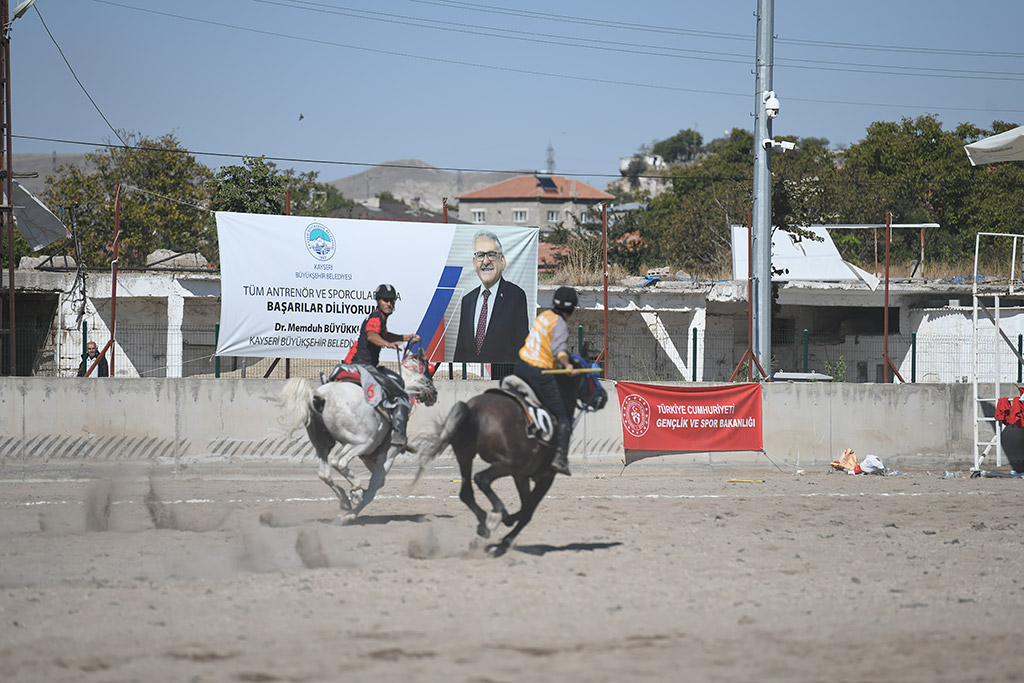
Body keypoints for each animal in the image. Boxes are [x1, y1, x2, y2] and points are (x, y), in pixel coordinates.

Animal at [278, 352, 438, 524]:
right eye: (428, 377)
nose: (434, 394)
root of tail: (323, 396)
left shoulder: (367, 456)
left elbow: (377, 481)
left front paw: (354, 498)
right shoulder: (387, 455)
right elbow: (375, 486)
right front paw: (353, 507)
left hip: (323, 444)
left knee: (324, 473)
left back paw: (345, 499)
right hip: (361, 442)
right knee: (339, 462)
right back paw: (355, 490)